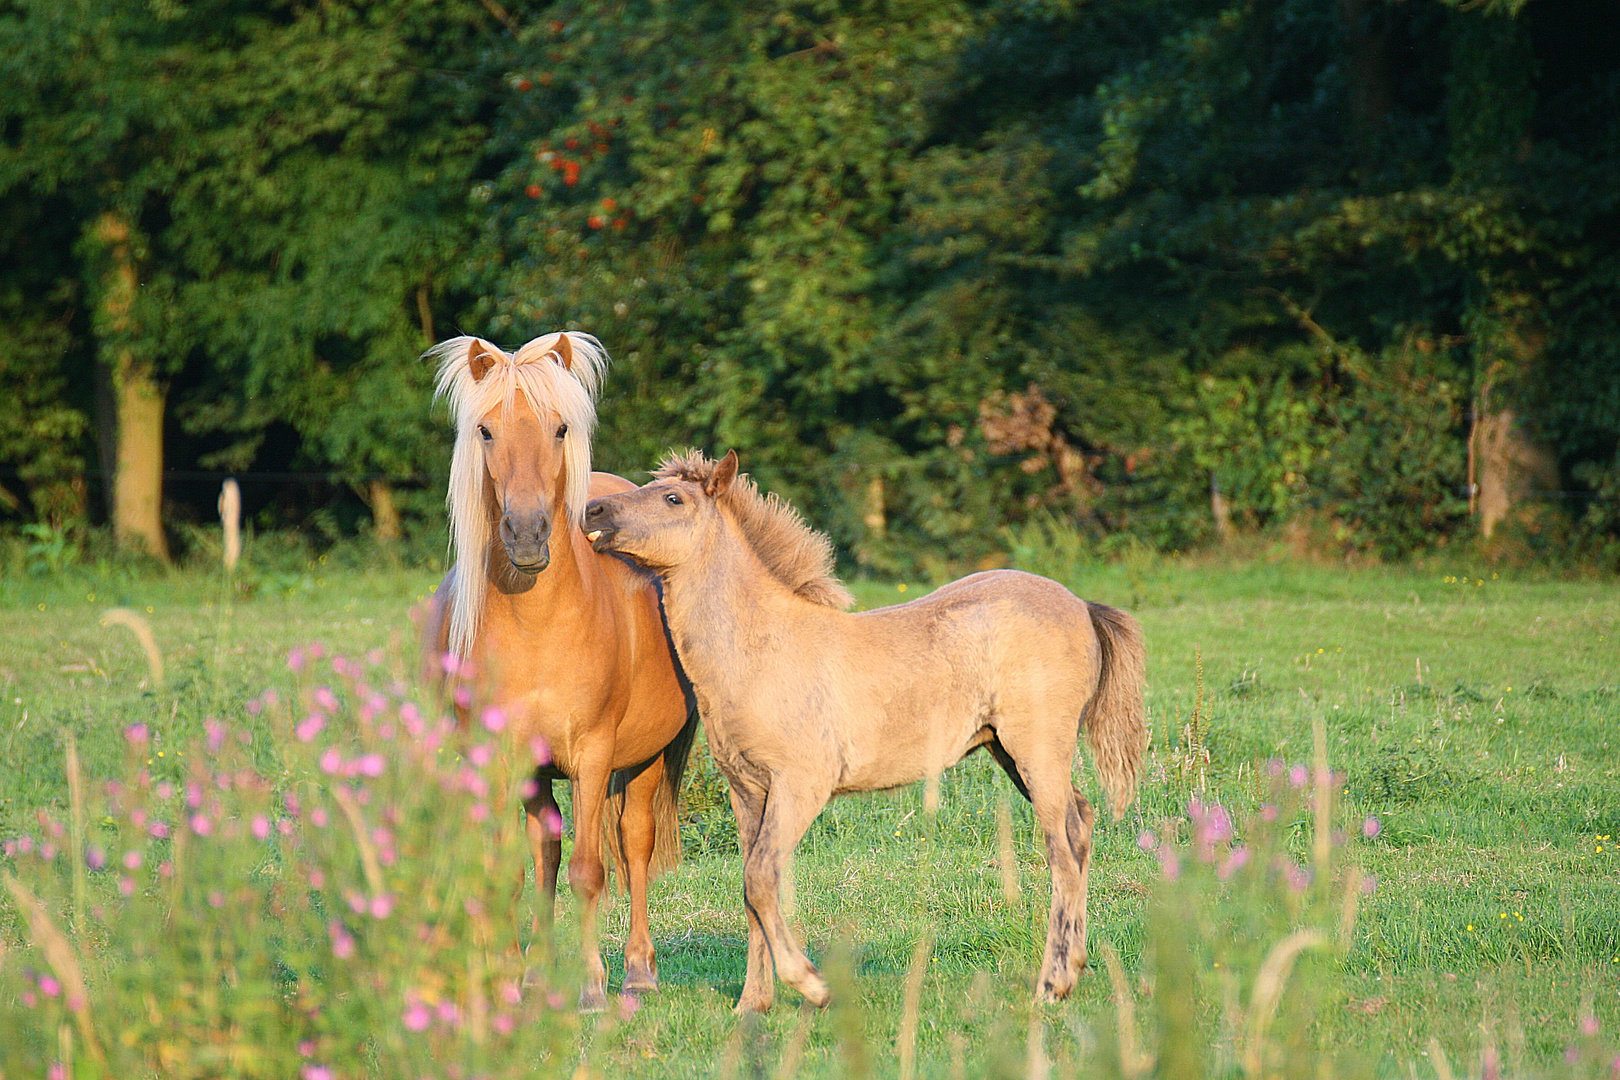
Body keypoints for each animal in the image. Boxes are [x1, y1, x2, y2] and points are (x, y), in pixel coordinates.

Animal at [579, 450, 1140, 1016]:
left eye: (674, 498)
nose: (592, 510)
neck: (759, 649)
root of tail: (1083, 607)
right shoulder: (748, 791)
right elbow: (752, 886)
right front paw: (753, 1003)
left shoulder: (802, 784)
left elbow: (760, 879)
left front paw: (812, 985)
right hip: (1009, 752)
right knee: (1080, 822)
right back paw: (1075, 965)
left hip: (1037, 748)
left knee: (1060, 851)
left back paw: (1054, 983)